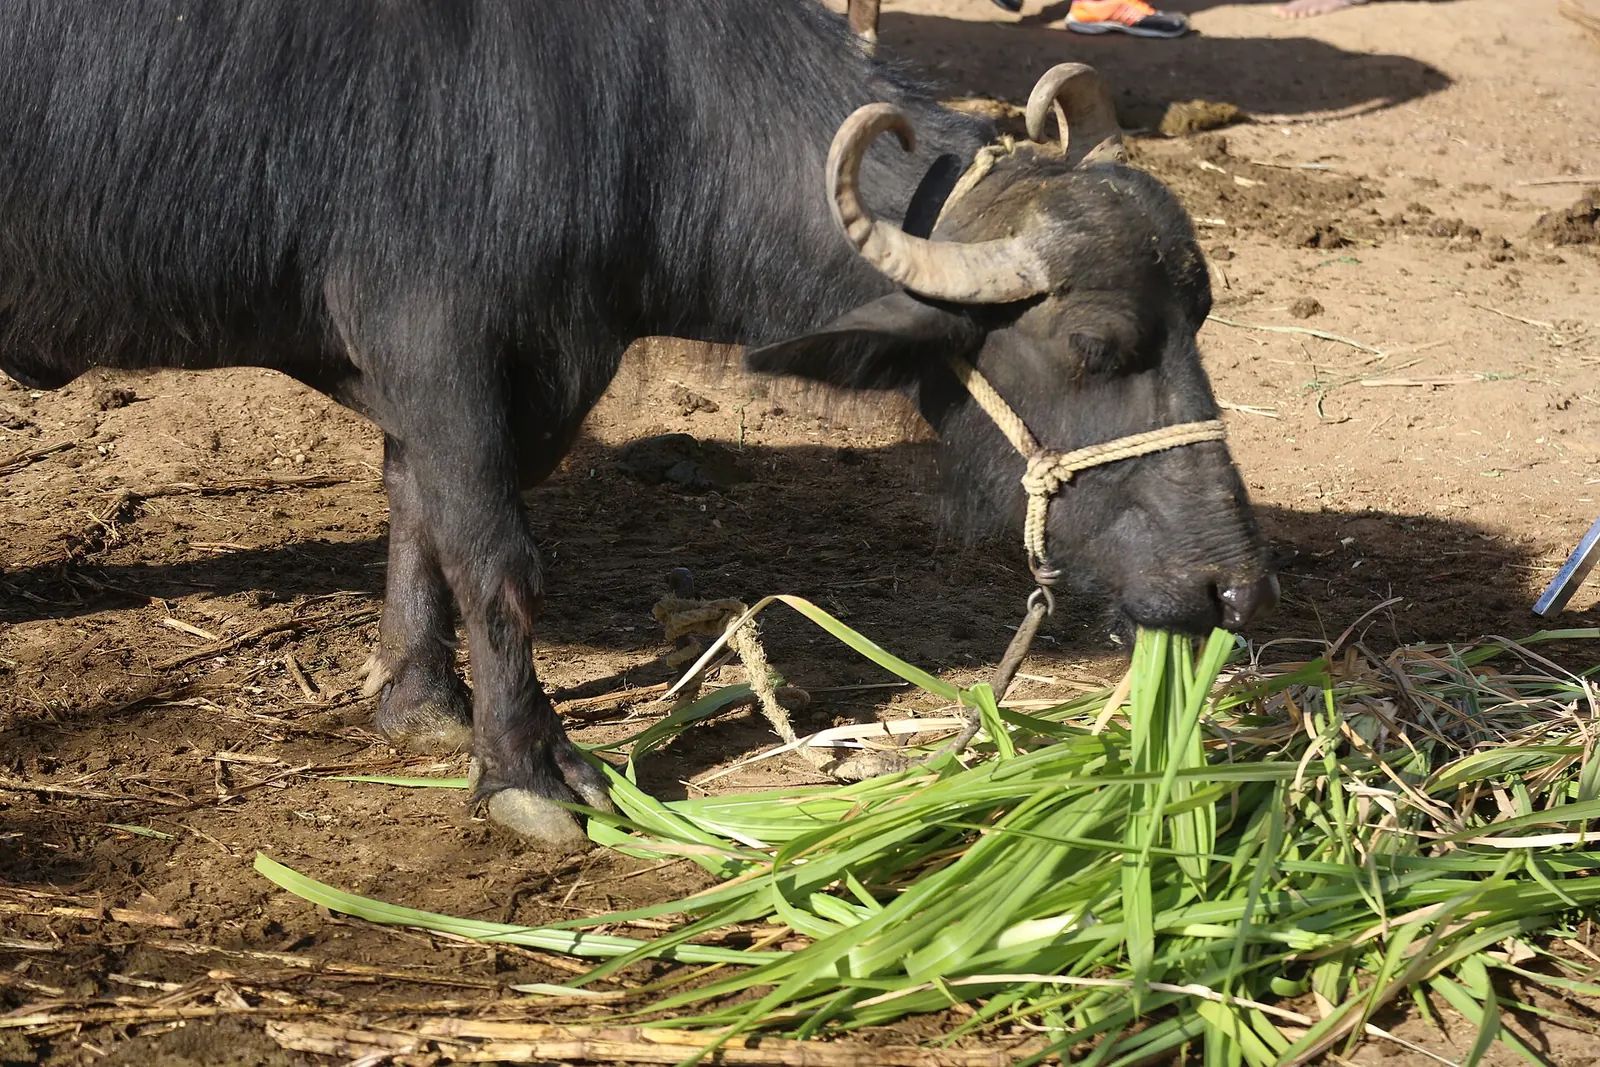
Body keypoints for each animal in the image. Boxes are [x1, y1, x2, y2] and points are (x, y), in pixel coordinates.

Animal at [0, 0, 1275, 846]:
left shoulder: (481, 373)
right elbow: (497, 557)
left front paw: (420, 705)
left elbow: (418, 513)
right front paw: (527, 768)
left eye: (1204, 312)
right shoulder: (439, 341)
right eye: (1093, 343)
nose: (1231, 587)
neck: (616, 111)